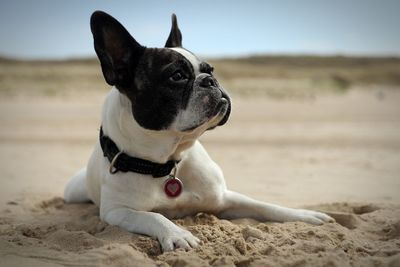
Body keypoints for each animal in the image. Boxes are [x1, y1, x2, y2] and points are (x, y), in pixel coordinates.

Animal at [65, 11, 334, 253]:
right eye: (177, 76)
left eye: (210, 69)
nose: (210, 80)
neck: (167, 161)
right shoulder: (117, 211)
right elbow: (153, 217)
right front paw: (177, 234)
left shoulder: (223, 199)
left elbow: (263, 205)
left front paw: (303, 215)